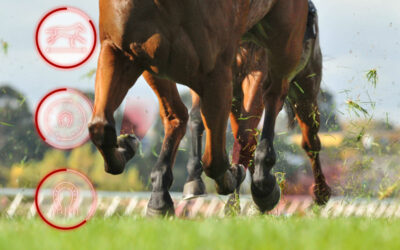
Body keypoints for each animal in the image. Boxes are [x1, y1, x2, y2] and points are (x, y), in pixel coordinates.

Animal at [89, 0, 310, 215]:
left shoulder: (218, 72)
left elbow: (215, 160)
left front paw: (234, 176)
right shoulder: (124, 50)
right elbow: (100, 127)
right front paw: (126, 147)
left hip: (283, 39)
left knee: (272, 98)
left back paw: (263, 183)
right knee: (180, 115)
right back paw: (160, 194)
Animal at [184, 1, 332, 210]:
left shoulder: (258, 70)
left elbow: (245, 138)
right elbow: (198, 120)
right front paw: (196, 179)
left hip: (305, 89)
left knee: (310, 141)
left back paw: (320, 192)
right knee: (246, 139)